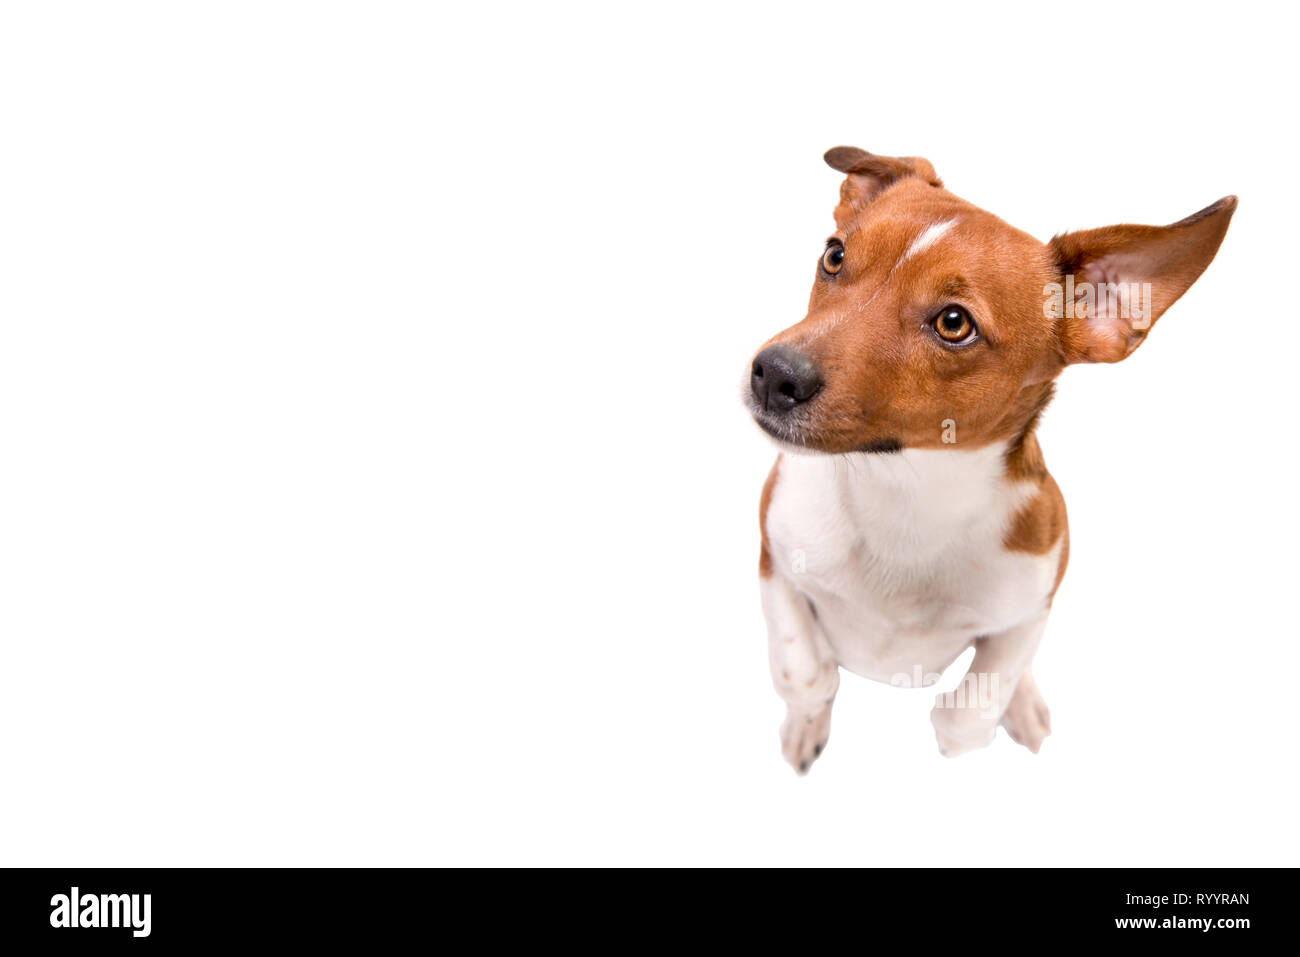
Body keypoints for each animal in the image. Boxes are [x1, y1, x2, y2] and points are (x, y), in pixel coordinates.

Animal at [748, 145, 1232, 769]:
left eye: (954, 323)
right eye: (834, 256)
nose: (773, 373)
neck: (903, 494)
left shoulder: (1028, 609)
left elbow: (971, 713)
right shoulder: (775, 559)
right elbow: (803, 671)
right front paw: (806, 721)